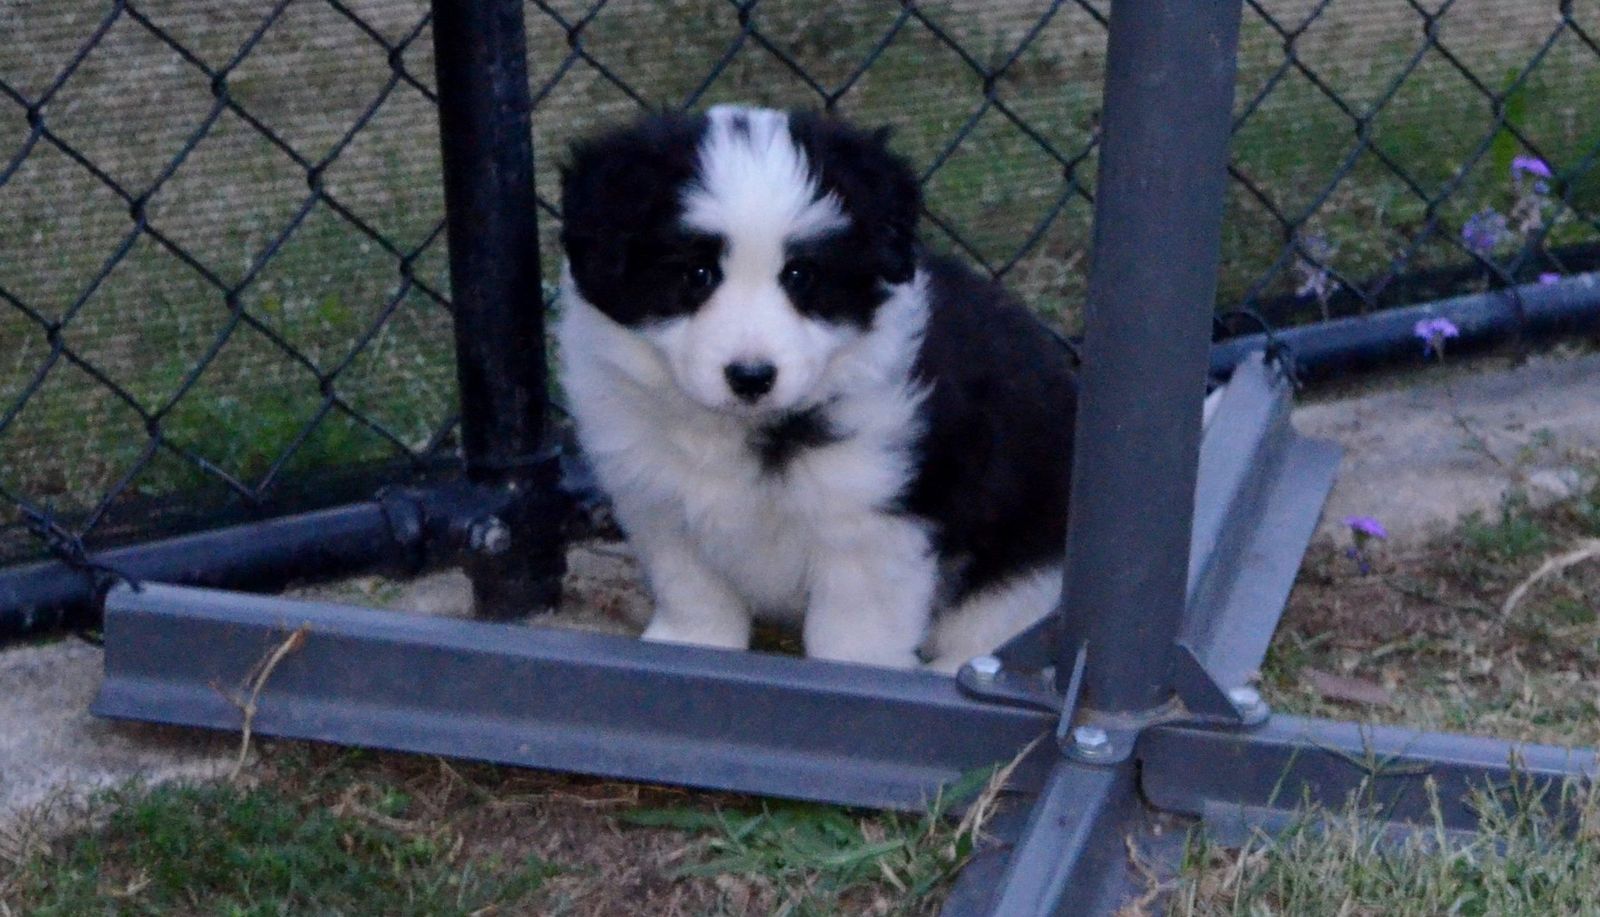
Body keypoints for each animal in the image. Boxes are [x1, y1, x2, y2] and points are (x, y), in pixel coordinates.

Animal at [555, 105, 1077, 672]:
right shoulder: (660, 505)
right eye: (696, 273)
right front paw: (692, 645)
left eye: (800, 275)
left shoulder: (870, 527)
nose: (752, 377)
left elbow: (852, 635)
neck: (739, 430)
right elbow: (693, 589)